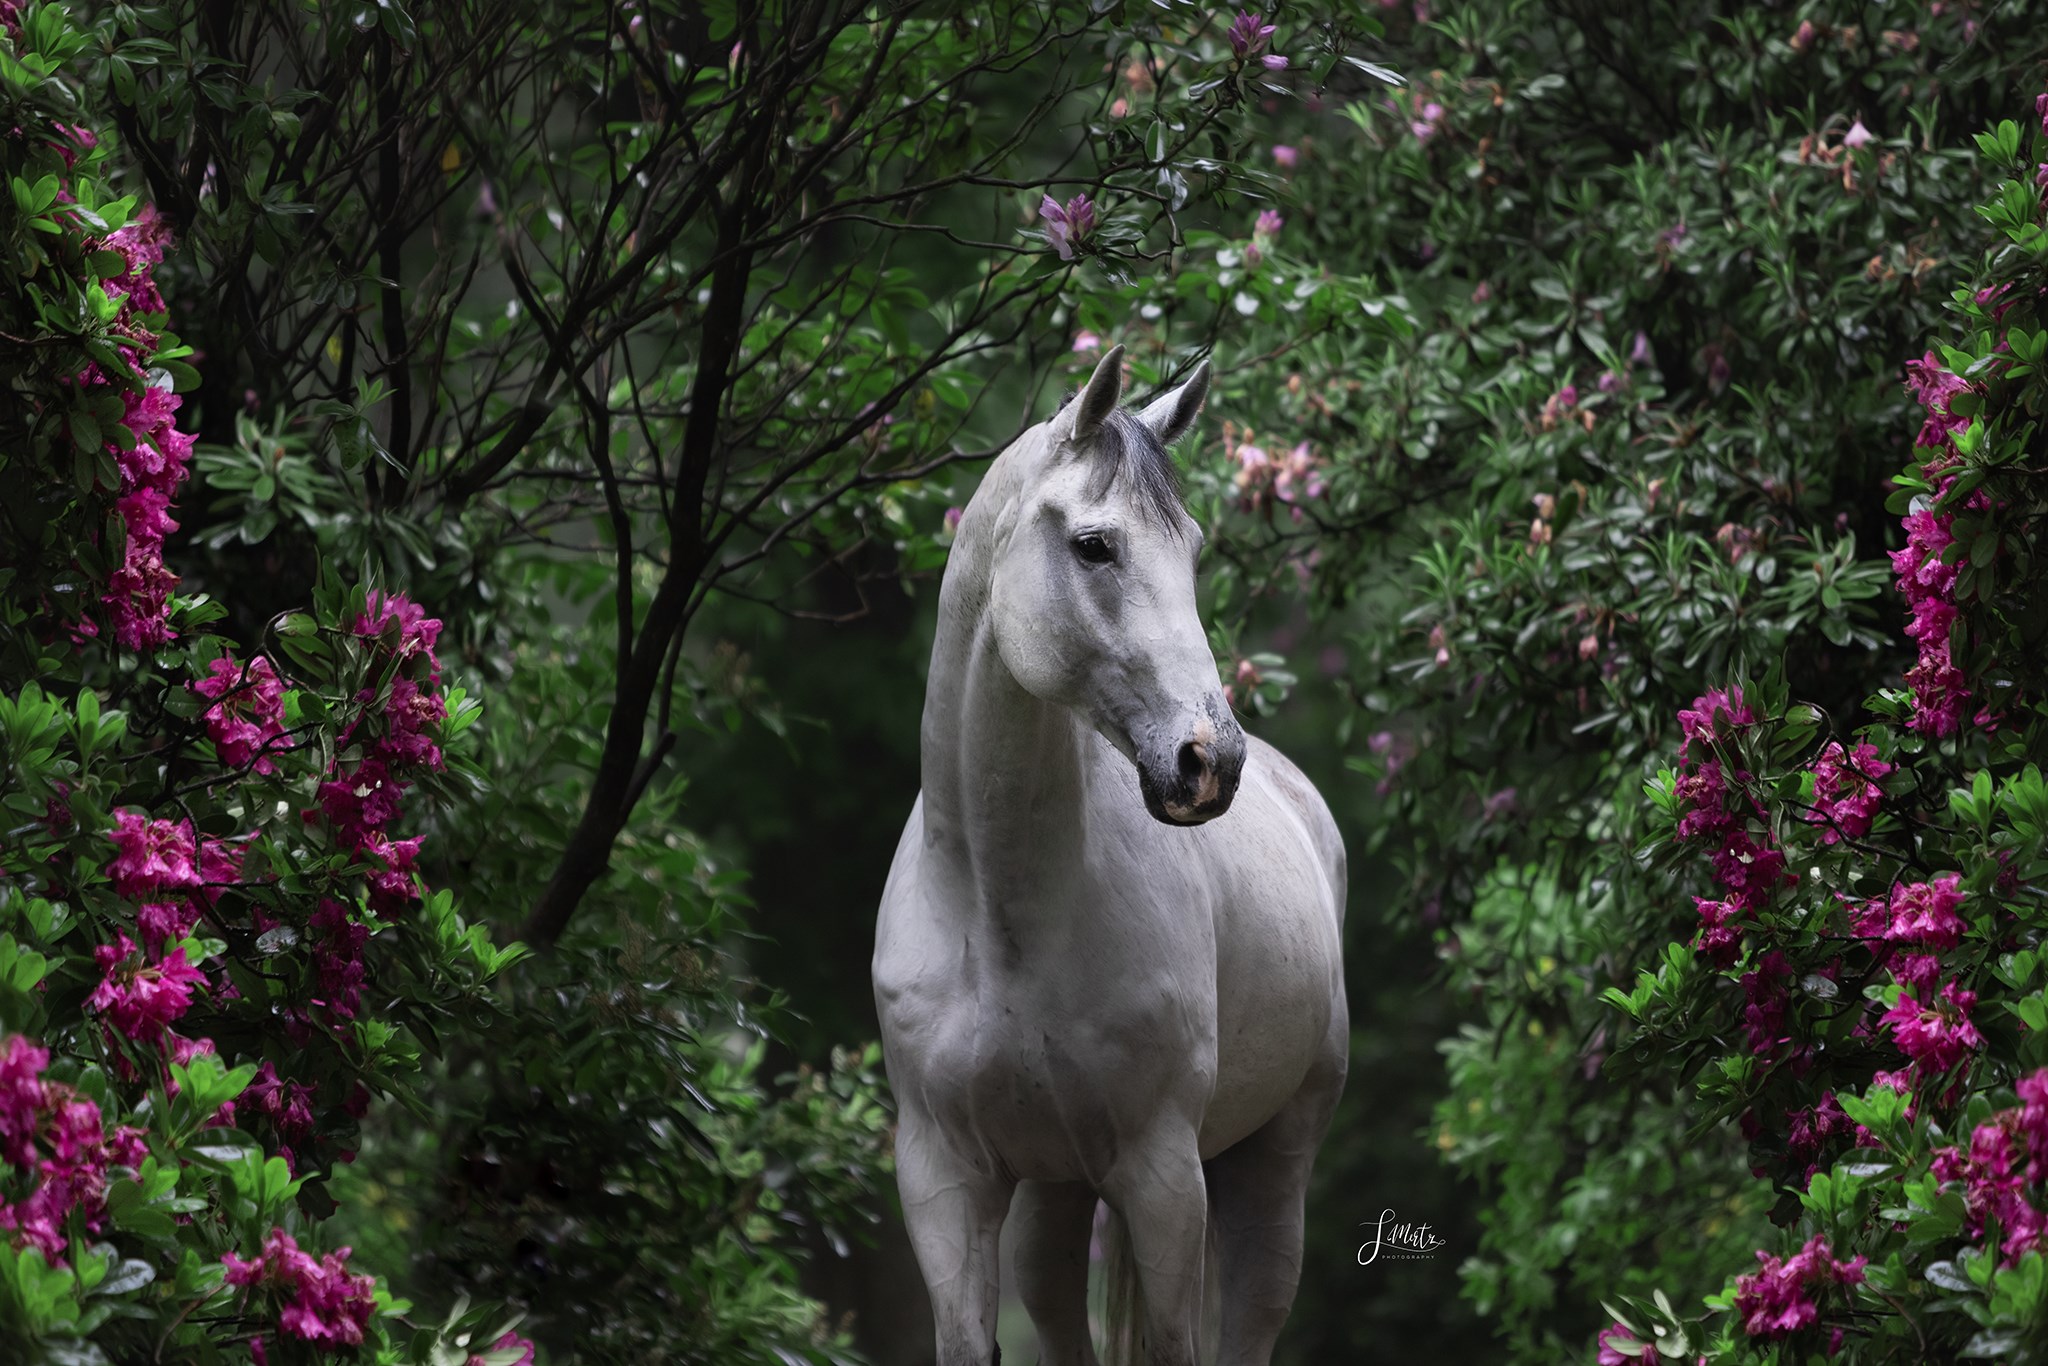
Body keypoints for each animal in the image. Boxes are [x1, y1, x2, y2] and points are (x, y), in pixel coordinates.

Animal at [872, 344, 1351, 1366]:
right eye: (1095, 546)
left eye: (1194, 548)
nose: (1211, 761)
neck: (1002, 914)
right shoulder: (943, 1179)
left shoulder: (1161, 1176)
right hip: (1055, 1193)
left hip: (1271, 1164)